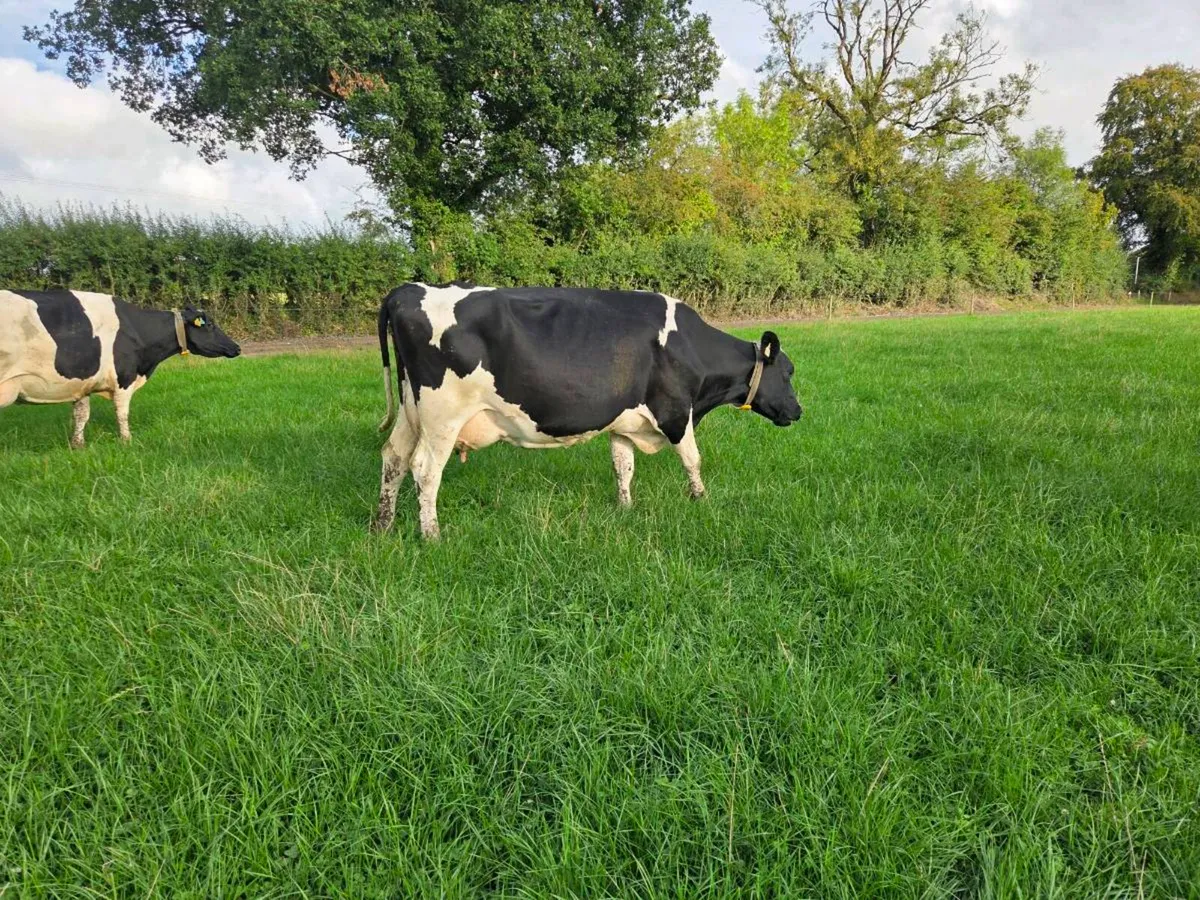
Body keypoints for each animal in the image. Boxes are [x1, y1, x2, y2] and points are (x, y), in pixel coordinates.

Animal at [0, 289, 240, 447]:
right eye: (210, 325)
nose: (236, 347)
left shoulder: (82, 381)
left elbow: (81, 415)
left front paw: (77, 445)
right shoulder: (125, 377)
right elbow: (122, 413)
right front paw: (127, 440)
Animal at [372, 283, 803, 539]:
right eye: (788, 371)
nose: (798, 411)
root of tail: (410, 289)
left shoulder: (625, 420)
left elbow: (623, 466)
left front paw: (625, 508)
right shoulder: (677, 412)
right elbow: (693, 460)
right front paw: (701, 500)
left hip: (412, 411)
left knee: (393, 457)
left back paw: (383, 525)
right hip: (442, 415)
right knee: (425, 469)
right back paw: (431, 535)